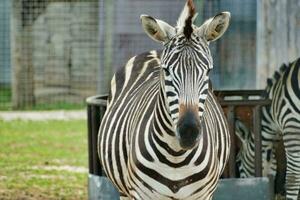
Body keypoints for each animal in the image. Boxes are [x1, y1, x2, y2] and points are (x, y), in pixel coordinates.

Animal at [97, 0, 231, 199]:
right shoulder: (140, 193)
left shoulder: (203, 195)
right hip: (123, 190)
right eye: (166, 70)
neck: (176, 156)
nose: (189, 132)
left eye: (208, 71)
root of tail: (153, 51)